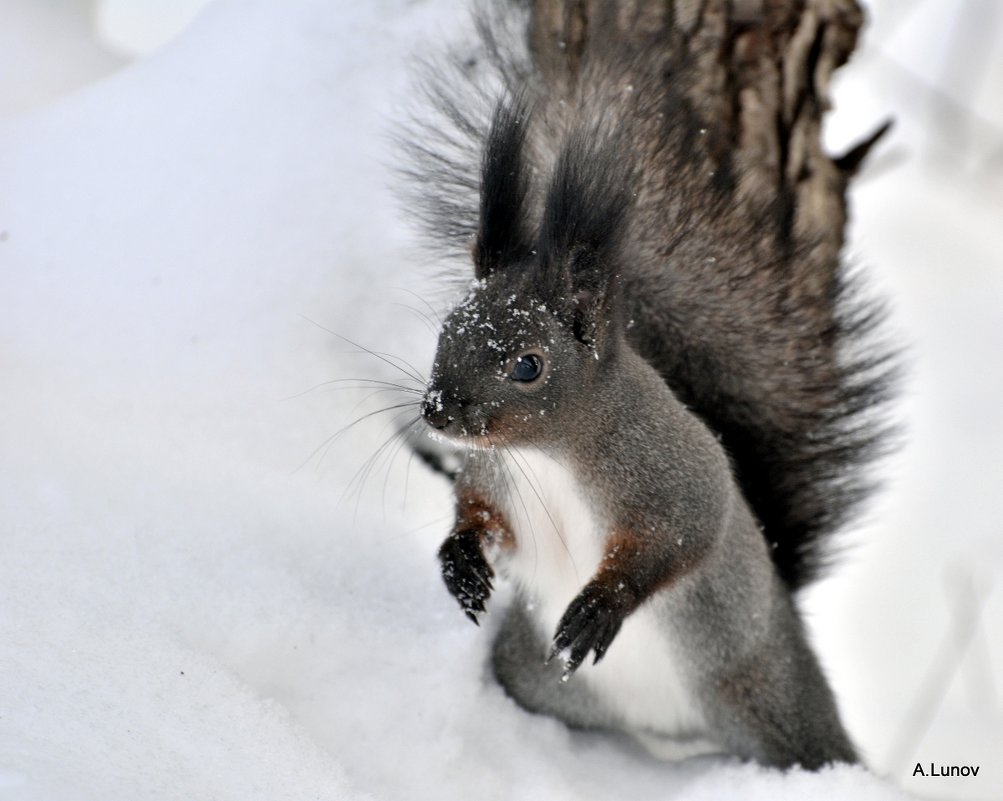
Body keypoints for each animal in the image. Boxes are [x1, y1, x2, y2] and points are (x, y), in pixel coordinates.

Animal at [399, 3, 894, 773]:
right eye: (447, 329)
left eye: (528, 365)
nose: (438, 411)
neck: (547, 456)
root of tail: (676, 740)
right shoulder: (494, 476)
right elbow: (477, 514)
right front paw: (461, 563)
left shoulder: (672, 470)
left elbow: (682, 535)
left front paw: (601, 607)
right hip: (530, 673)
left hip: (770, 702)